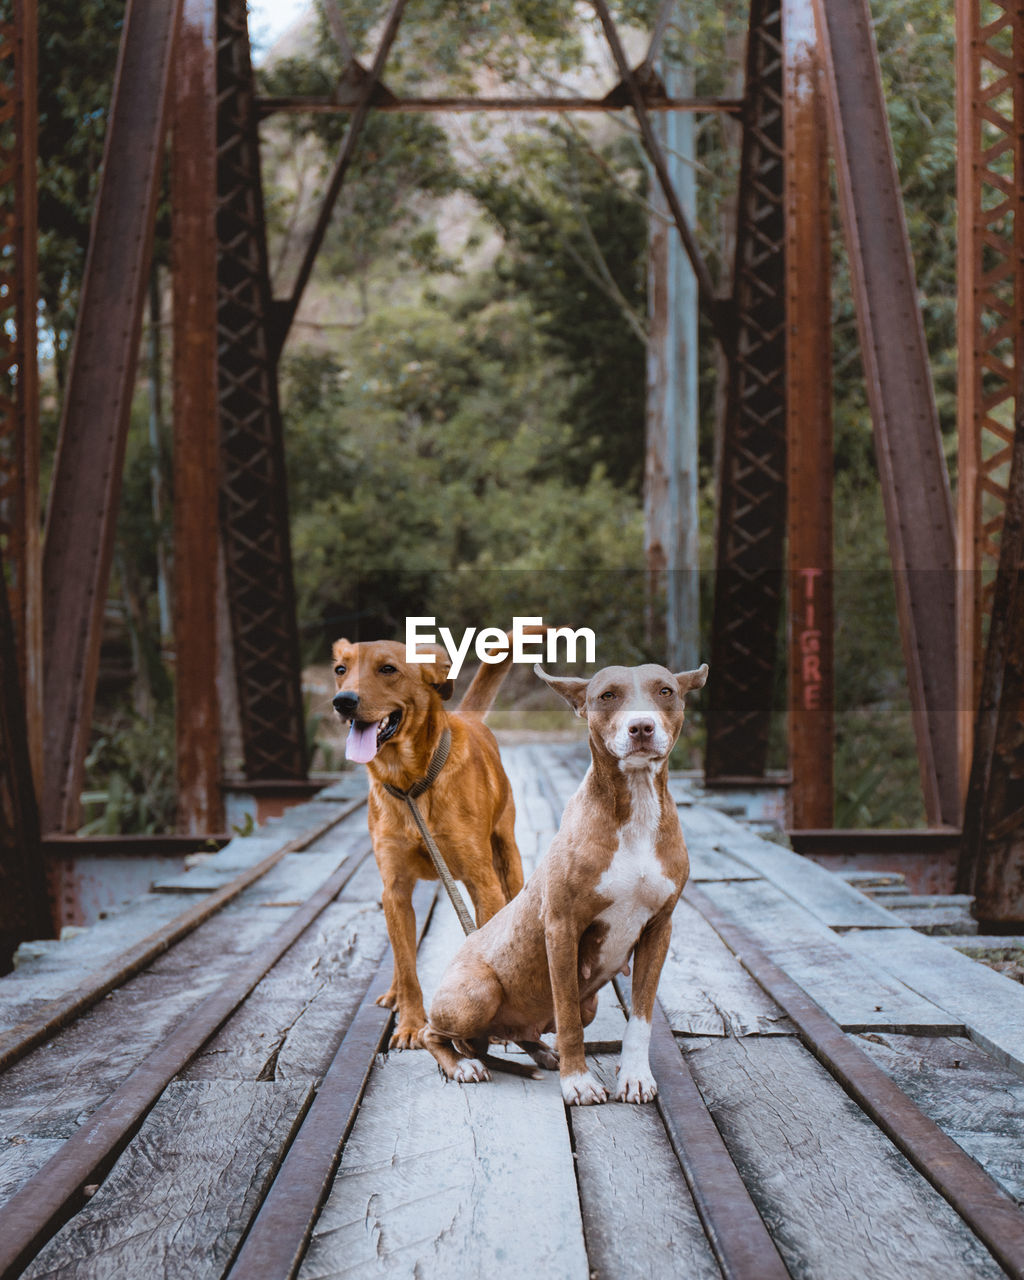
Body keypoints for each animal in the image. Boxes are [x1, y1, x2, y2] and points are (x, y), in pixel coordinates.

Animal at [332, 632, 532, 1049]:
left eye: (388, 669)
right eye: (341, 670)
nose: (343, 701)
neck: (410, 784)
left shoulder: (483, 883)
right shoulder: (394, 889)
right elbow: (408, 968)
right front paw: (410, 1023)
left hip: (506, 861)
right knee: (401, 954)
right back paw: (394, 993)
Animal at [422, 660, 706, 1100]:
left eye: (666, 691)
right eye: (607, 695)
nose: (641, 727)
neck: (636, 809)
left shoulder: (659, 929)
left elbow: (640, 1018)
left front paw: (635, 1076)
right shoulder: (561, 929)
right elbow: (568, 1016)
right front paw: (578, 1082)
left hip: (573, 1007)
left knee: (519, 1034)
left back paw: (540, 1053)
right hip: (476, 993)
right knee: (433, 1034)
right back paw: (464, 1065)